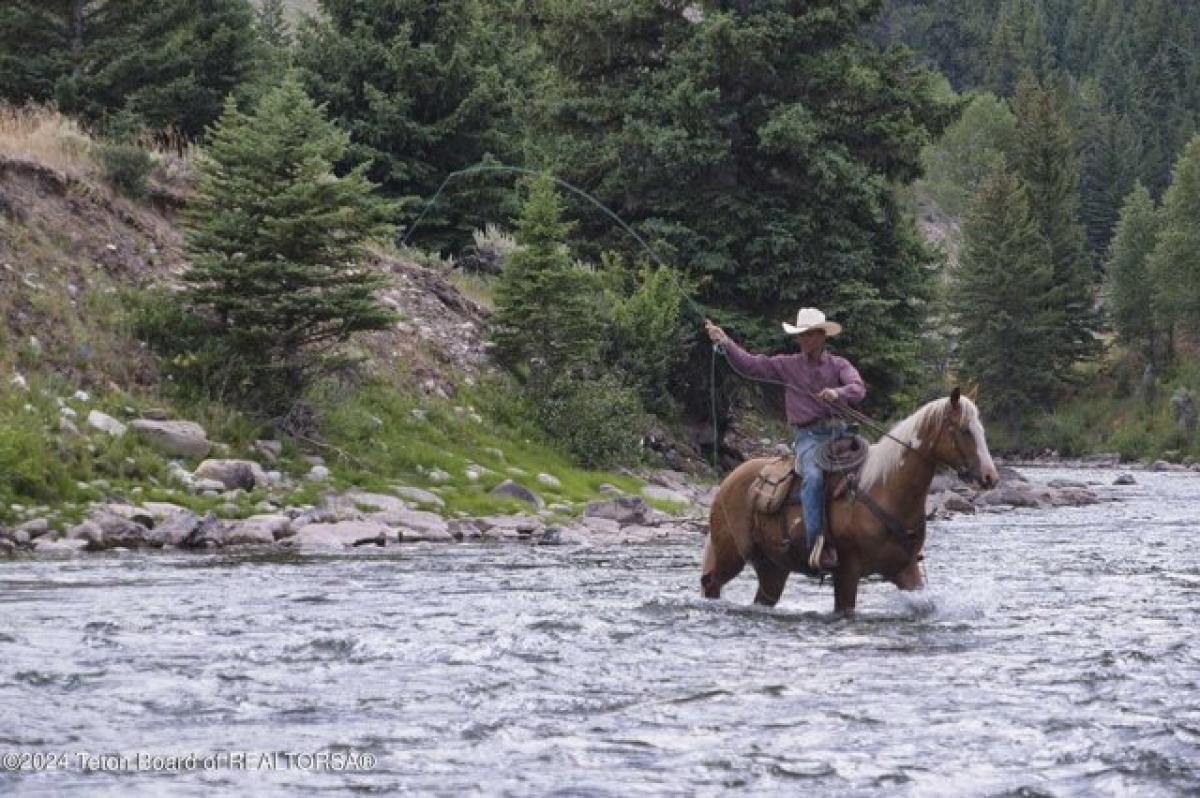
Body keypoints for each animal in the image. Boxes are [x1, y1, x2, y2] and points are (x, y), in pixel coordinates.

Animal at [700, 388, 998, 612]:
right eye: (964, 430)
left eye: (981, 430)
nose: (990, 477)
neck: (885, 488)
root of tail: (728, 481)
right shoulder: (847, 572)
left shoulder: (906, 568)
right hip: (731, 554)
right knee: (711, 584)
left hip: (773, 568)